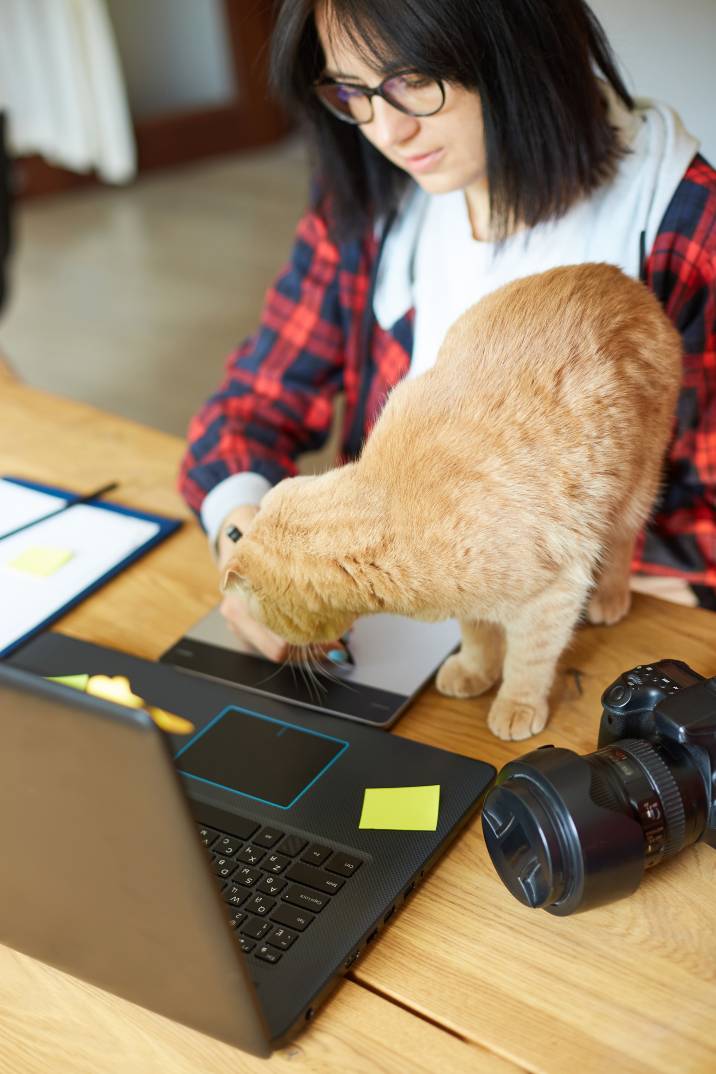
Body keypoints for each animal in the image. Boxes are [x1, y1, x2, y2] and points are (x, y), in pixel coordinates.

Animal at [224, 264, 682, 743]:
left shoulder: (554, 593)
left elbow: (529, 660)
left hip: (635, 488)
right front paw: (475, 671)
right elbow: (478, 636)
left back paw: (610, 598)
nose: (301, 655)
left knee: (622, 546)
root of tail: (619, 277)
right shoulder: (471, 602)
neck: (392, 505)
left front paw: (516, 704)